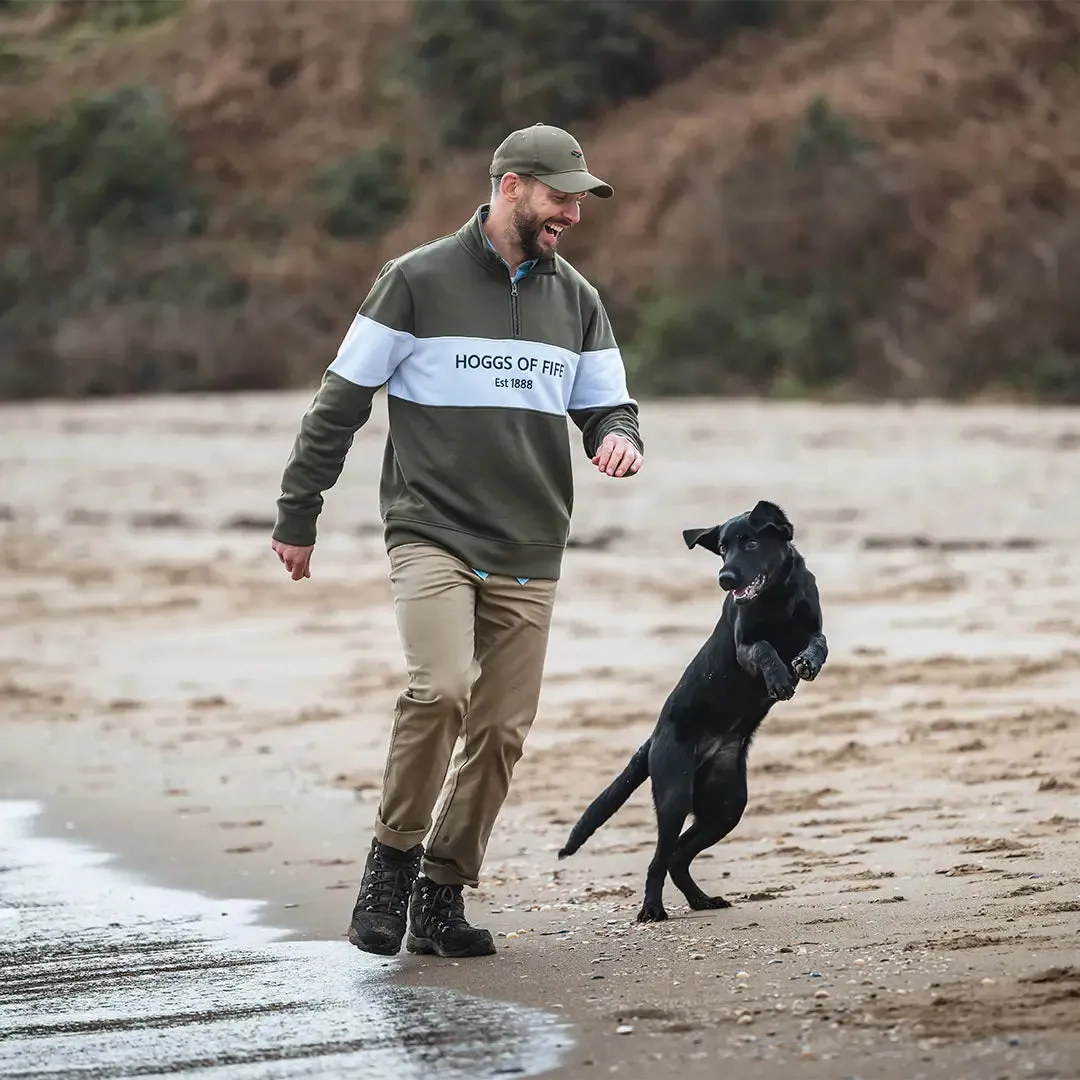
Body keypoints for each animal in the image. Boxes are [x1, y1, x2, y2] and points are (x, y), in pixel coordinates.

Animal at [557, 501, 825, 924]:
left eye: (751, 542)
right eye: (722, 548)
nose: (725, 578)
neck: (777, 595)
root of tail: (653, 738)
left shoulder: (814, 628)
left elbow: (818, 645)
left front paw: (805, 664)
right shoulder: (744, 646)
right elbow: (765, 648)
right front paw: (780, 678)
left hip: (726, 805)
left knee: (678, 856)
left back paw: (701, 900)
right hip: (675, 794)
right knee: (659, 859)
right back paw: (652, 909)